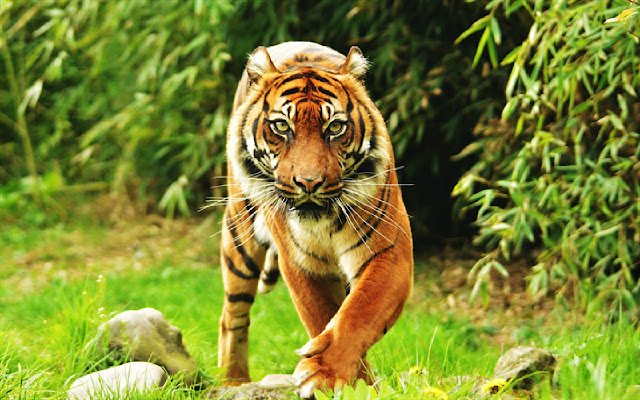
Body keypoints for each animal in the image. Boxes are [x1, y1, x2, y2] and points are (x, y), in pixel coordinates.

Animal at [218, 41, 413, 398]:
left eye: (335, 127)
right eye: (282, 126)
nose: (309, 183)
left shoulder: (390, 253)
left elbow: (359, 313)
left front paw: (328, 374)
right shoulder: (302, 263)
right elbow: (322, 315)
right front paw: (347, 380)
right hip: (239, 236)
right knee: (232, 314)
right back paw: (233, 381)